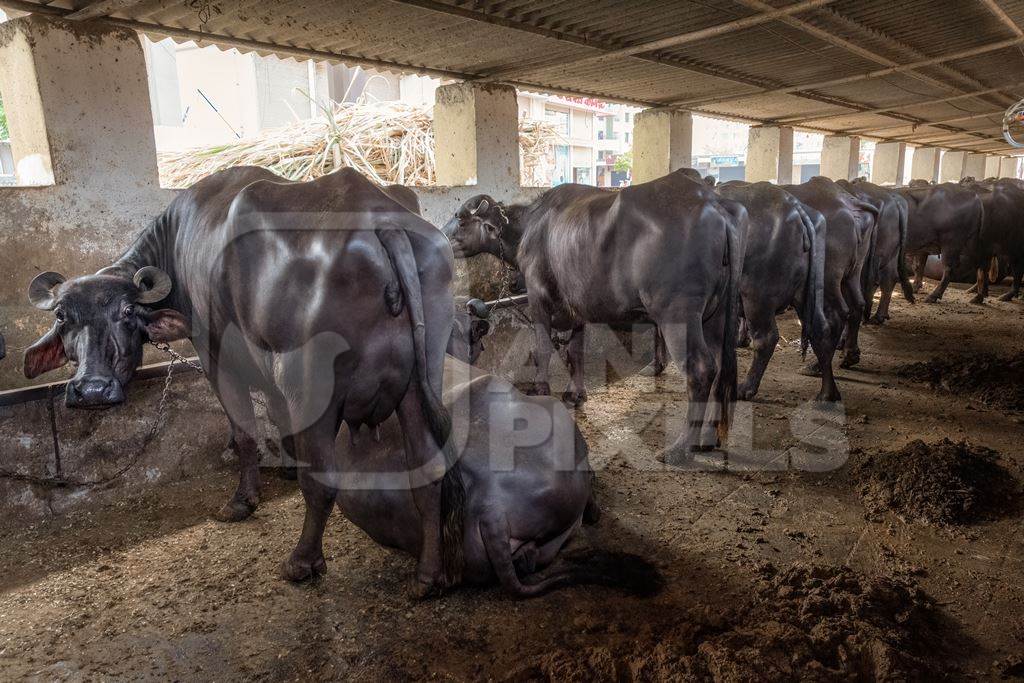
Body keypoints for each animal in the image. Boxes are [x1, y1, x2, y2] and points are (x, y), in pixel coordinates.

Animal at [24, 165, 464, 593]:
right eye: (62, 316)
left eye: (127, 313)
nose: (92, 389)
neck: (177, 241)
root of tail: (382, 221)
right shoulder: (270, 372)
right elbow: (278, 419)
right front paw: (286, 466)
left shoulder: (218, 361)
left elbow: (245, 432)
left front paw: (242, 501)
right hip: (420, 382)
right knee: (428, 471)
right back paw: (429, 575)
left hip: (311, 386)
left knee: (323, 481)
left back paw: (302, 561)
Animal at [444, 167, 749, 464]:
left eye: (460, 219)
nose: (442, 237)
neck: (532, 226)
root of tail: (713, 203)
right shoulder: (576, 306)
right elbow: (575, 351)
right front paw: (575, 394)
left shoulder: (538, 297)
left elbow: (542, 349)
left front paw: (541, 389)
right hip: (716, 315)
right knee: (720, 365)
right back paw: (709, 438)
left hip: (678, 315)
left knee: (701, 368)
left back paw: (680, 448)